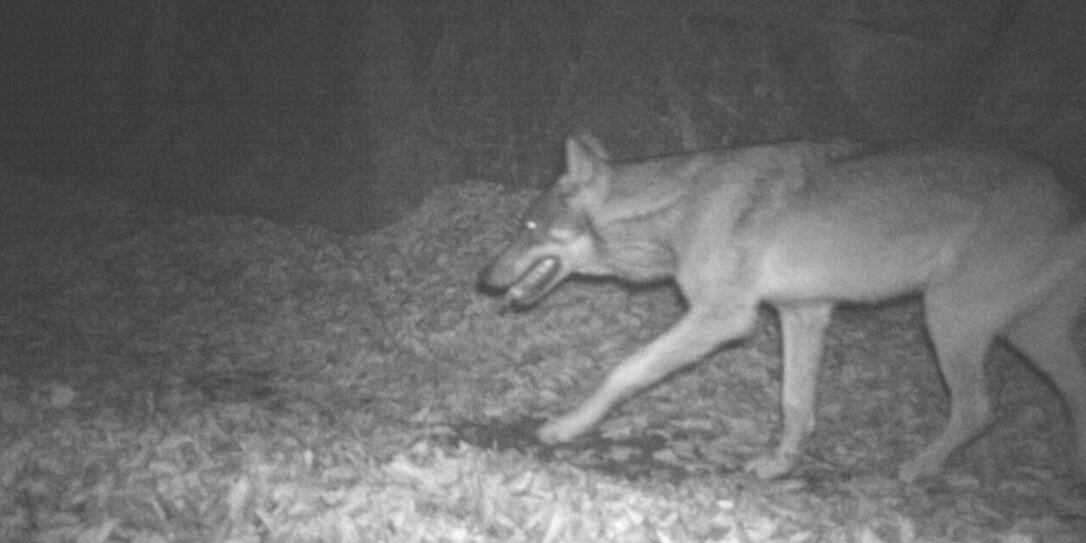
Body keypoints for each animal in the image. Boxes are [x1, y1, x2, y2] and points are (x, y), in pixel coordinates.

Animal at [481, 134, 1086, 482]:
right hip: (1026, 335)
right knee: (1071, 392)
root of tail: (1069, 195)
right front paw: (777, 466)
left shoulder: (723, 318)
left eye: (528, 227)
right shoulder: (804, 312)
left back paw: (918, 469)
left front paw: (566, 427)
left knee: (977, 409)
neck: (681, 207)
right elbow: (796, 406)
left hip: (947, 319)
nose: (483, 279)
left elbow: (624, 371)